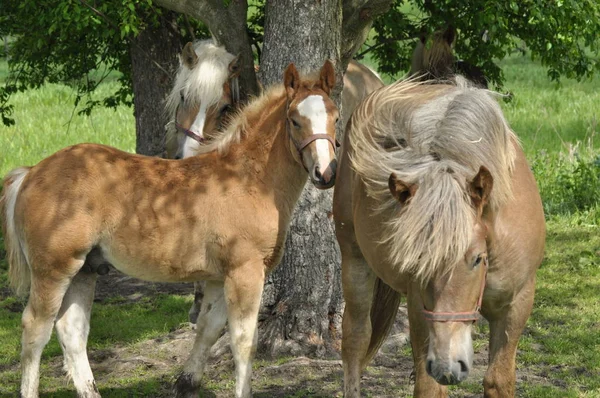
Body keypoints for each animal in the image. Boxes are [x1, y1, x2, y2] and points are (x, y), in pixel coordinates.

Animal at [0, 59, 340, 398]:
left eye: (336, 116)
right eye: (295, 121)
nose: (325, 172)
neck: (248, 179)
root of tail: (30, 172)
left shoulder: (217, 277)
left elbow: (208, 329)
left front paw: (185, 383)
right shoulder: (245, 270)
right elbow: (243, 341)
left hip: (84, 270)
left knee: (71, 331)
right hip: (53, 270)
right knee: (35, 329)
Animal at [336, 79, 548, 396]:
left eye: (477, 259)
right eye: (417, 262)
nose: (448, 366)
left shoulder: (515, 305)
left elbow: (498, 381)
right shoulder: (420, 310)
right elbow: (429, 387)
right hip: (354, 257)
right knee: (355, 339)